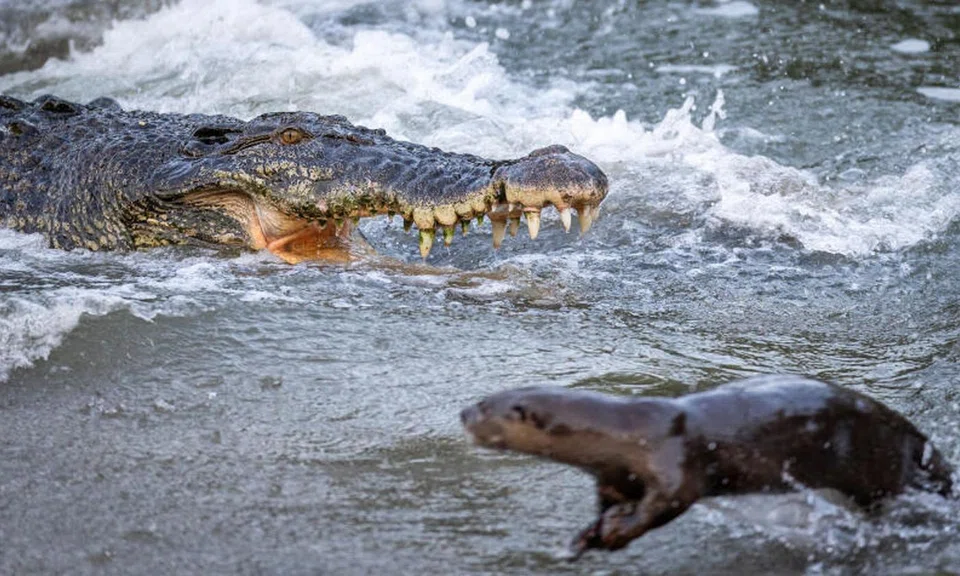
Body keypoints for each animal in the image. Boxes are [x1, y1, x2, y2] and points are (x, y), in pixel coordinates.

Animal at [460, 375, 955, 558]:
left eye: (484, 407)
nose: (462, 412)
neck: (625, 432)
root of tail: (917, 439)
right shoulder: (613, 481)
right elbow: (606, 506)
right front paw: (585, 537)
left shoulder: (674, 461)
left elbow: (669, 502)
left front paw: (618, 533)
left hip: (883, 468)